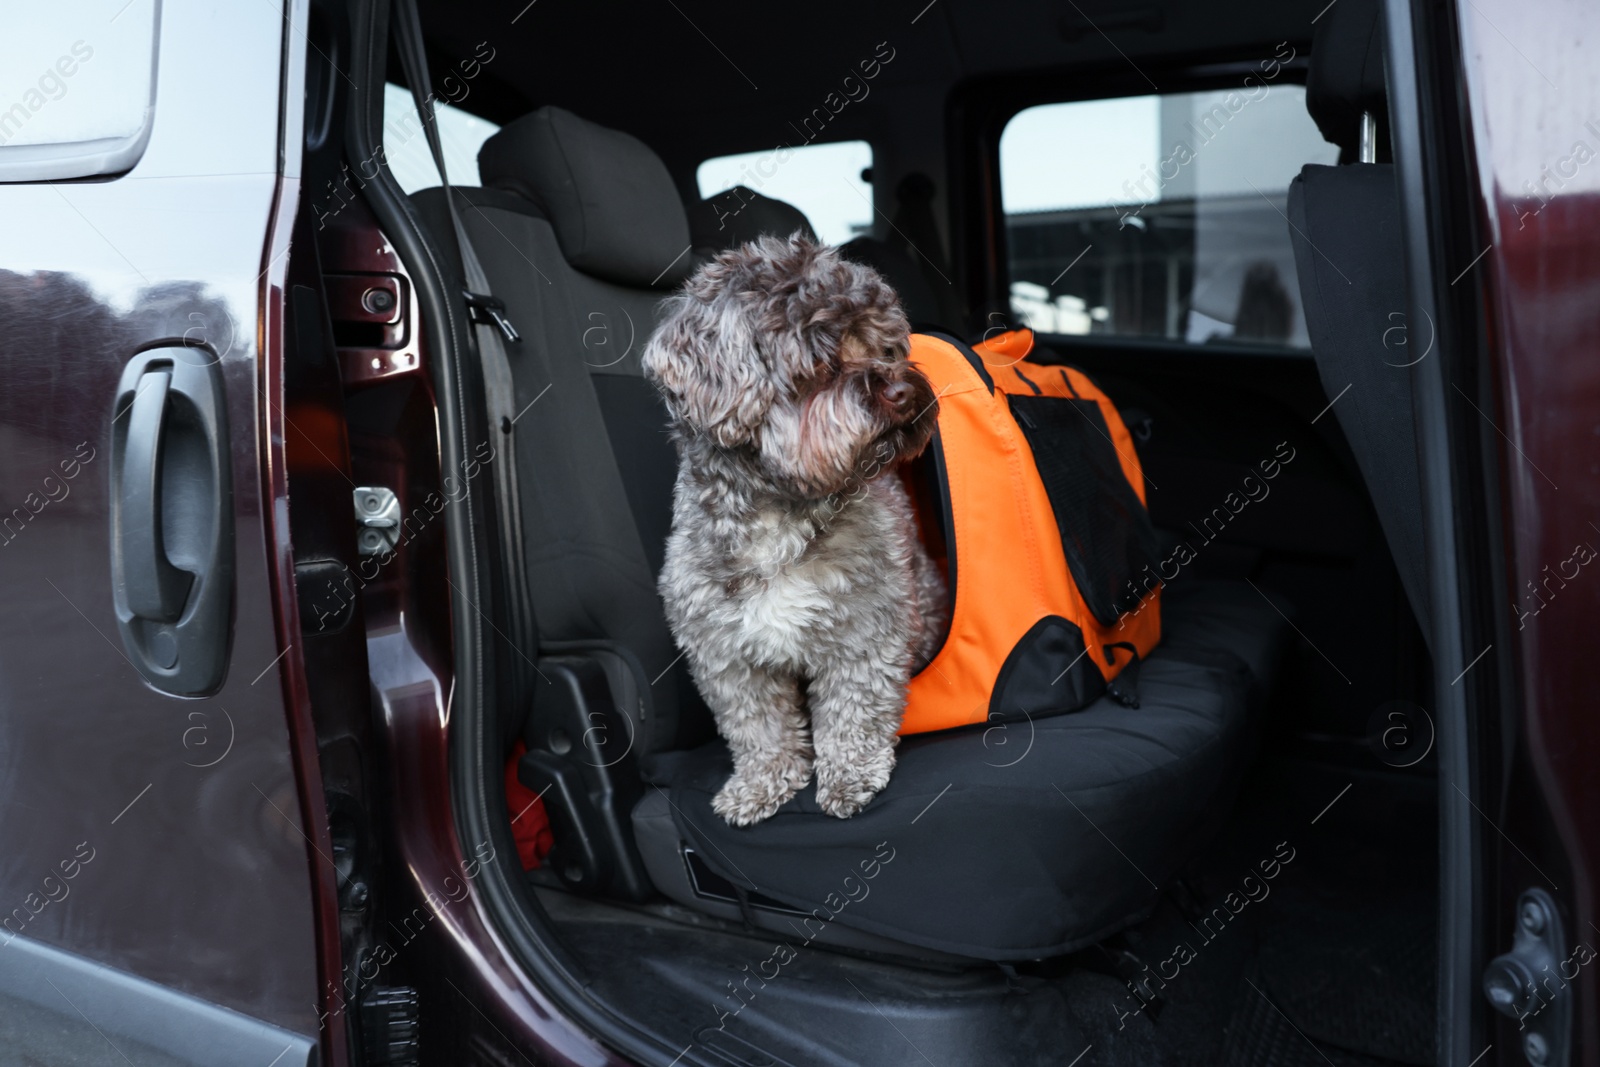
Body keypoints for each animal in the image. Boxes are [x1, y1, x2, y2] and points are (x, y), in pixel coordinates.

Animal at [643, 238, 947, 831]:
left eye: (886, 346)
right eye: (821, 361)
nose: (903, 387)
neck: (779, 514)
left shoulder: (864, 629)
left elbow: (855, 708)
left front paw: (850, 774)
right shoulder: (725, 654)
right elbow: (758, 727)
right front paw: (763, 783)